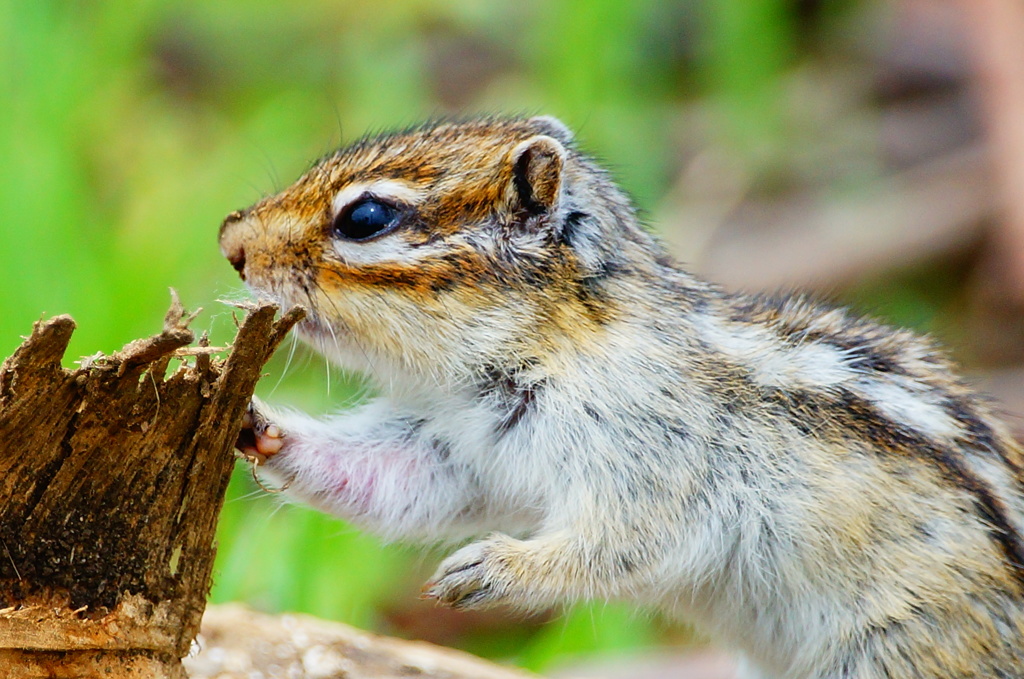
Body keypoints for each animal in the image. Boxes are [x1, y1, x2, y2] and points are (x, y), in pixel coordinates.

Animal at [218, 114, 1024, 675]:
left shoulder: (656, 457)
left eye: (366, 218)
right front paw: (258, 426)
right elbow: (388, 482)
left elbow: (634, 542)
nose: (230, 241)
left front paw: (494, 569)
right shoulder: (448, 446)